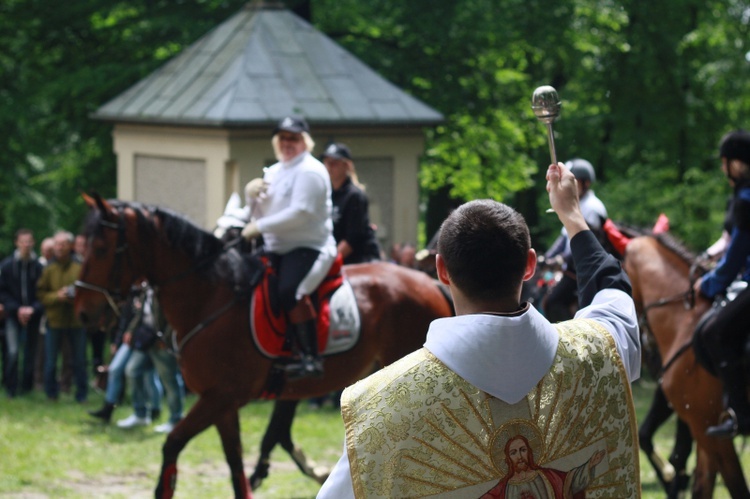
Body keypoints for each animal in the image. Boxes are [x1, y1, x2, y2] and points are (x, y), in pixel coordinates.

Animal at [75, 196, 452, 499]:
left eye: (101, 249)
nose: (82, 311)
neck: (211, 296)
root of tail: (430, 282)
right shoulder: (223, 404)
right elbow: (236, 464)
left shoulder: (220, 396)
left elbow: (173, 443)